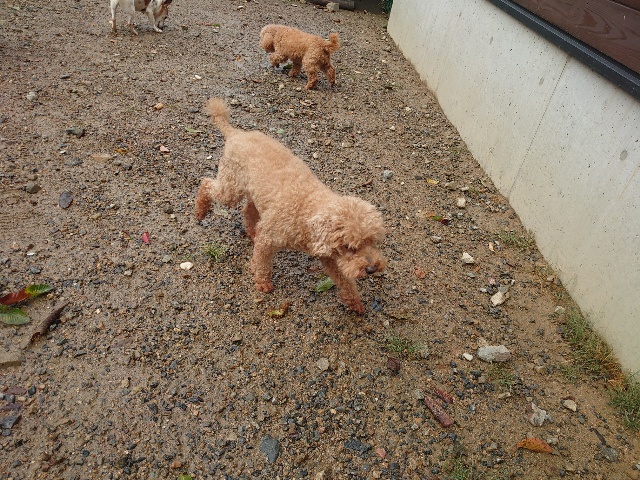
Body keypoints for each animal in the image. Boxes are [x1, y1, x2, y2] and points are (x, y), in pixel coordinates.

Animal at [195, 98, 386, 314]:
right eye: (348, 246)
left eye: (372, 241)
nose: (372, 269)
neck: (307, 209)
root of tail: (236, 133)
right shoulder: (268, 239)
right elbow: (262, 263)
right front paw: (262, 283)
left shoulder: (330, 256)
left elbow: (344, 280)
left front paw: (355, 302)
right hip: (231, 187)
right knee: (207, 184)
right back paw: (200, 211)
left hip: (254, 192)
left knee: (248, 209)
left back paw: (251, 231)